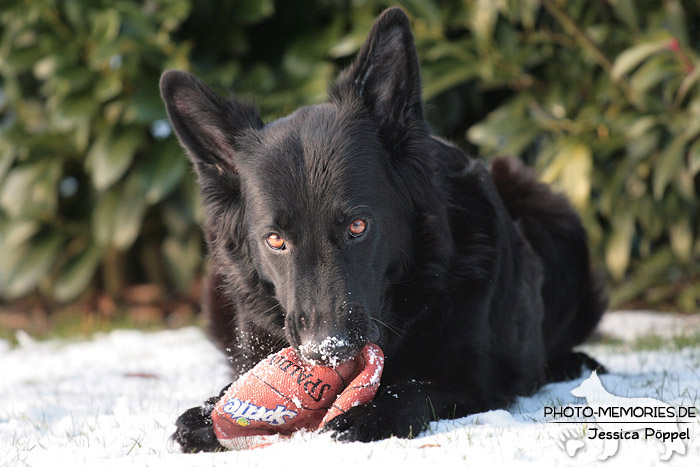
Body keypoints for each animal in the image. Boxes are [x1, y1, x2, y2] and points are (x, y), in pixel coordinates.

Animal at [160, 6, 608, 454]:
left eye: (358, 226)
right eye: (275, 240)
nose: (328, 348)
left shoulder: (475, 379)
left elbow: (416, 388)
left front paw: (368, 413)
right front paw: (208, 411)